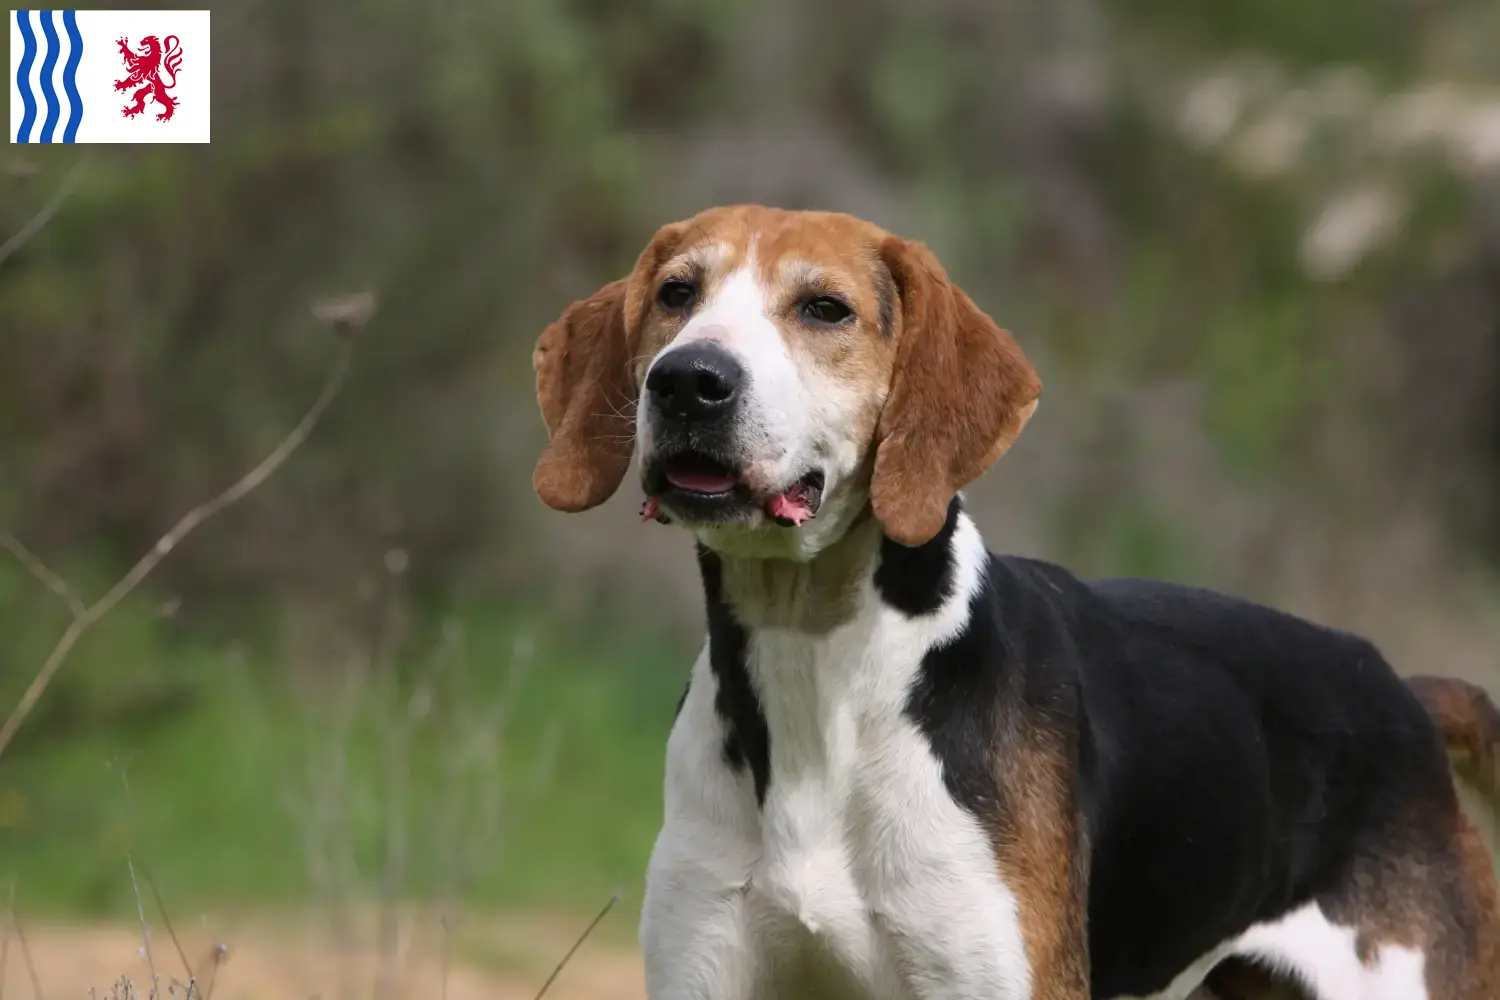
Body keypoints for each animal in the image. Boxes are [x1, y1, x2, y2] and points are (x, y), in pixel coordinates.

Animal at [528, 205, 1500, 1000]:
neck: (816, 651)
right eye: (675, 293)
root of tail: (1406, 695)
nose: (688, 379)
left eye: (825, 309)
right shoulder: (706, 965)